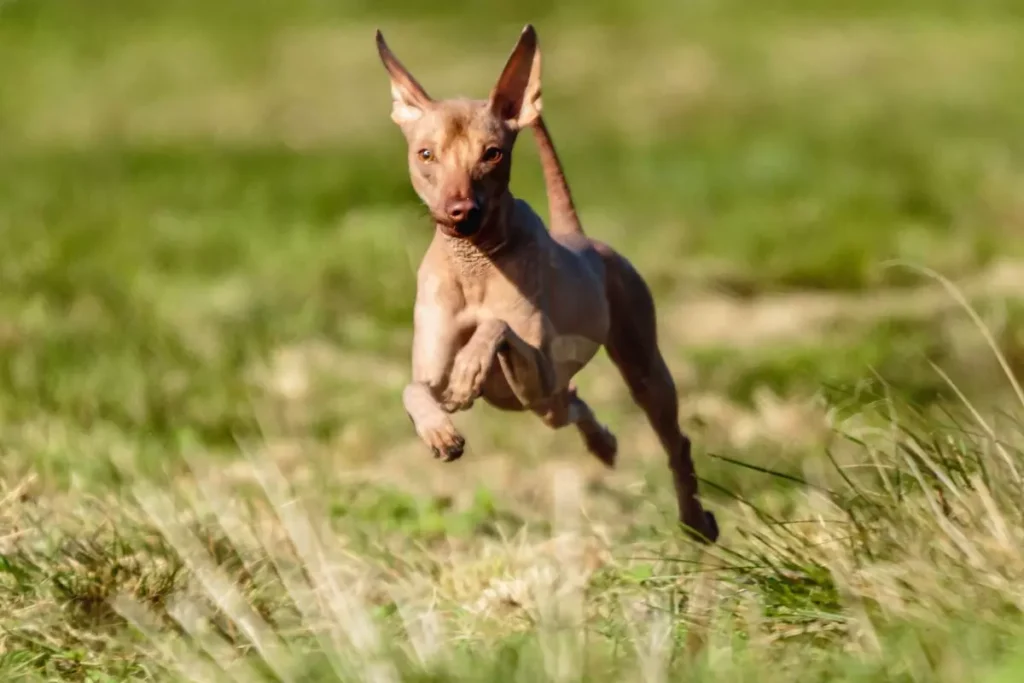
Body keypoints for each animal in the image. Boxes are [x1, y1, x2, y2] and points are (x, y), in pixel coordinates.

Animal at [372, 22, 716, 544]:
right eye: (425, 154)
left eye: (491, 154)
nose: (459, 211)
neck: (475, 263)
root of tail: (578, 236)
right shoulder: (433, 370)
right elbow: (413, 389)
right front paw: (439, 431)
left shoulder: (539, 369)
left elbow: (496, 328)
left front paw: (470, 369)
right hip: (544, 404)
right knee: (572, 403)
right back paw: (604, 444)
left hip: (637, 371)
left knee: (674, 441)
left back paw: (696, 520)